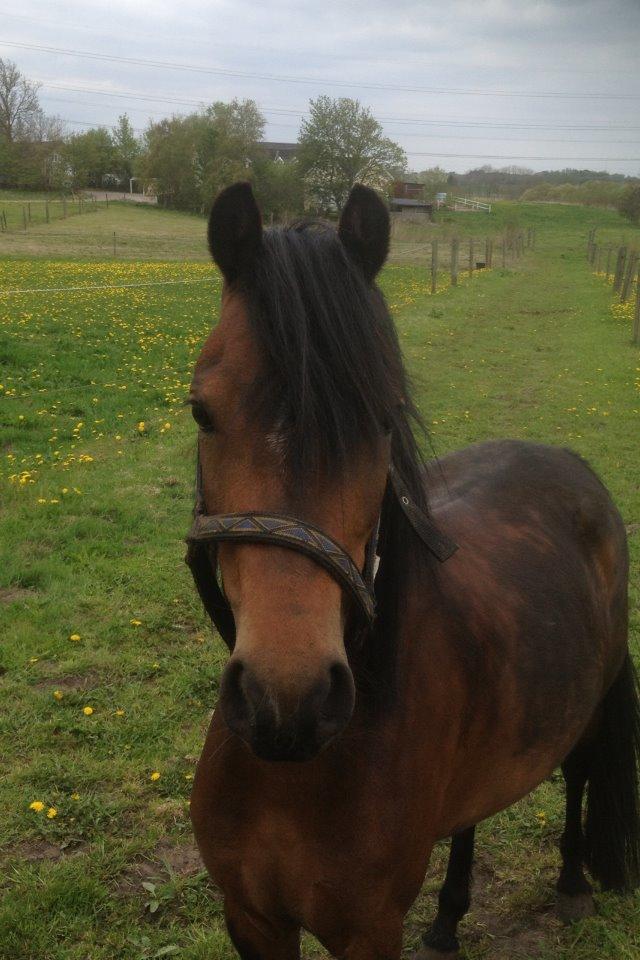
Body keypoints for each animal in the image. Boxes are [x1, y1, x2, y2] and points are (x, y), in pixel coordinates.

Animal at [186, 181, 640, 960]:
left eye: (384, 417)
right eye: (200, 411)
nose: (288, 698)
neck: (300, 773)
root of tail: (571, 464)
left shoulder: (368, 931)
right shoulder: (250, 917)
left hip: (590, 697)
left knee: (579, 771)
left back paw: (574, 884)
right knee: (469, 815)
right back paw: (449, 918)